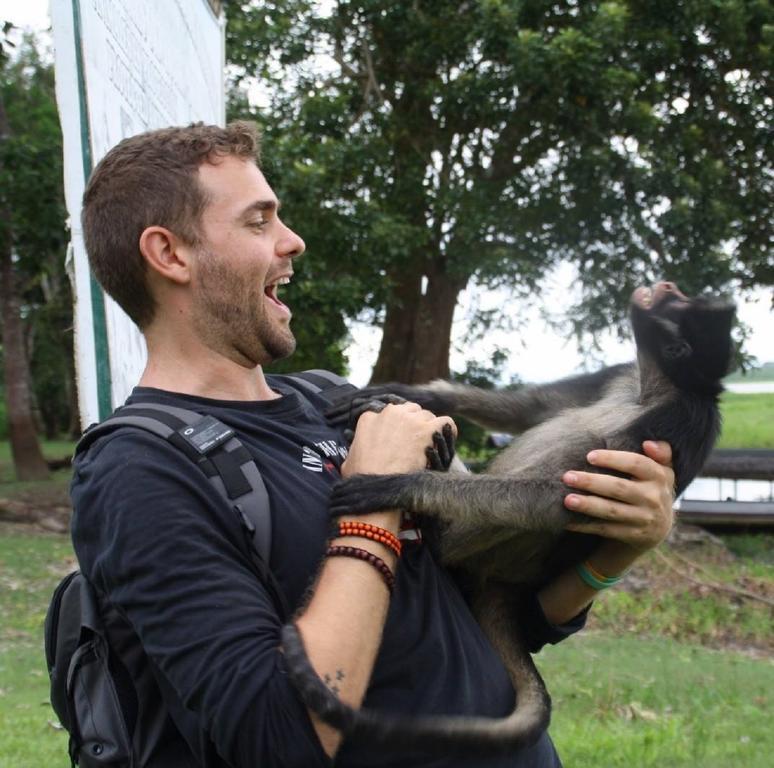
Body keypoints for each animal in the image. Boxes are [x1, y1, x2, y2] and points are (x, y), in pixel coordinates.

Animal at [280, 282, 732, 756]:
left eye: (678, 302)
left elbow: (561, 500)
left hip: (503, 555)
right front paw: (417, 394)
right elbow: (527, 409)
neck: (652, 390)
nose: (665, 286)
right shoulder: (626, 373)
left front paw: (401, 484)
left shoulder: (680, 417)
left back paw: (437, 519)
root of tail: (506, 582)